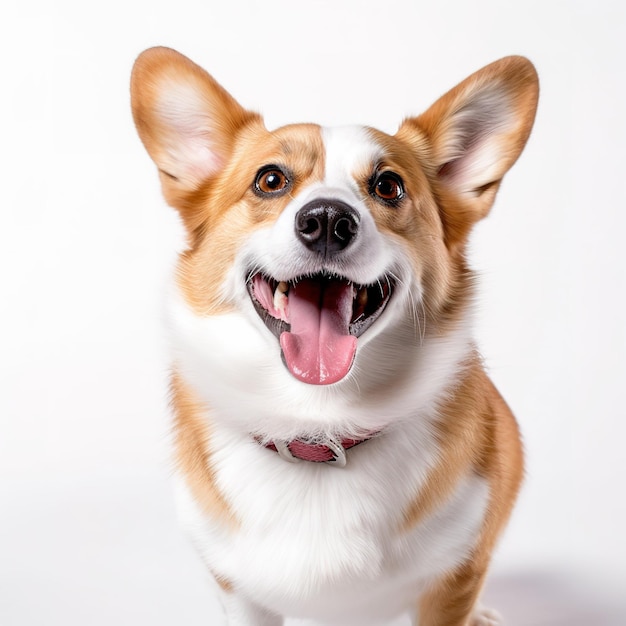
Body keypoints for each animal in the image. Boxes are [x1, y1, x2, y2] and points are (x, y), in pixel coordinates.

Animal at [130, 48, 536, 624]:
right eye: (270, 180)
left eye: (388, 186)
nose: (326, 220)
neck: (318, 425)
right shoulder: (238, 590)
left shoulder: (454, 579)